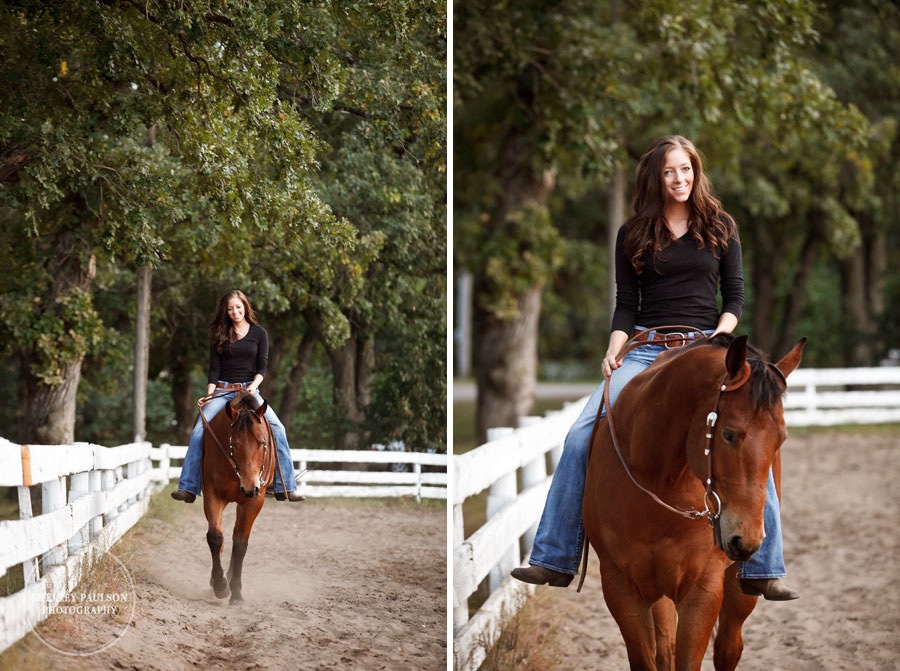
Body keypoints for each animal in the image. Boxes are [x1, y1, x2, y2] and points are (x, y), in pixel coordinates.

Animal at [202, 388, 276, 604]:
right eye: (233, 444)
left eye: (262, 442)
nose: (250, 487)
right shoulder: (212, 493)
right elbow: (215, 537)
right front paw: (220, 585)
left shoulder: (254, 501)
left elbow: (241, 544)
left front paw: (236, 593)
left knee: (236, 535)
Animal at [584, 334, 808, 671]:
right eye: (728, 434)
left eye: (780, 438)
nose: (746, 539)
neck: (658, 481)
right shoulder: (620, 587)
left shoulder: (702, 591)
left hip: (738, 587)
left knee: (728, 647)